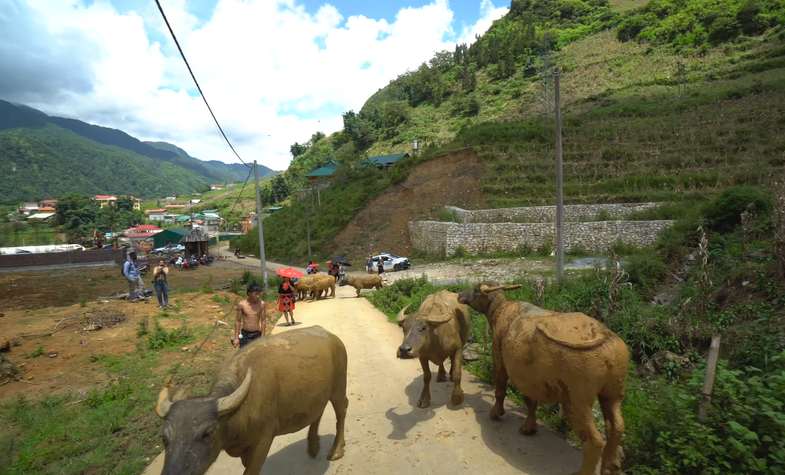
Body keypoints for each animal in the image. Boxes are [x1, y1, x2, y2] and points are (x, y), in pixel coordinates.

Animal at [155, 328, 348, 475]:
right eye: (164, 438)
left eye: (207, 433)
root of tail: (331, 336)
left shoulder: (264, 439)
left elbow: (251, 470)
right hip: (317, 394)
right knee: (318, 412)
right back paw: (313, 447)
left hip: (339, 387)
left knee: (342, 410)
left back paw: (336, 450)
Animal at [456, 282, 628, 475]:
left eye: (475, 289)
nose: (459, 295)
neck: (500, 310)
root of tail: (604, 336)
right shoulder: (530, 377)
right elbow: (531, 402)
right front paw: (528, 428)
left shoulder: (500, 359)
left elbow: (500, 389)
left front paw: (496, 413)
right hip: (613, 393)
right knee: (616, 427)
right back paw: (610, 467)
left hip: (577, 400)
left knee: (595, 439)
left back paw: (583, 471)